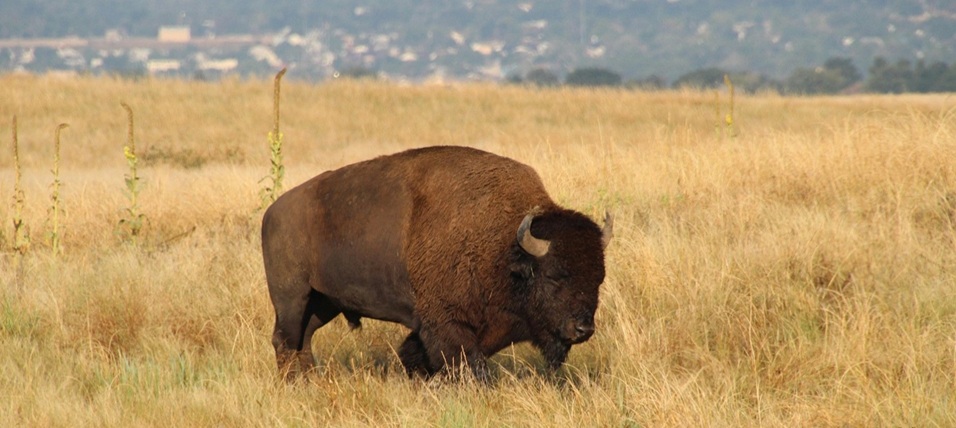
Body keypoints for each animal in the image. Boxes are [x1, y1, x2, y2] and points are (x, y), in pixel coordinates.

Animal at [261, 146, 612, 380]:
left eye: (598, 278)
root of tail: (273, 211)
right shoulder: (446, 322)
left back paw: (310, 380)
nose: (583, 329)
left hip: (324, 303)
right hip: (292, 297)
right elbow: (463, 361)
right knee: (285, 339)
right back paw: (294, 383)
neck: (505, 246)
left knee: (304, 338)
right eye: (554, 276)